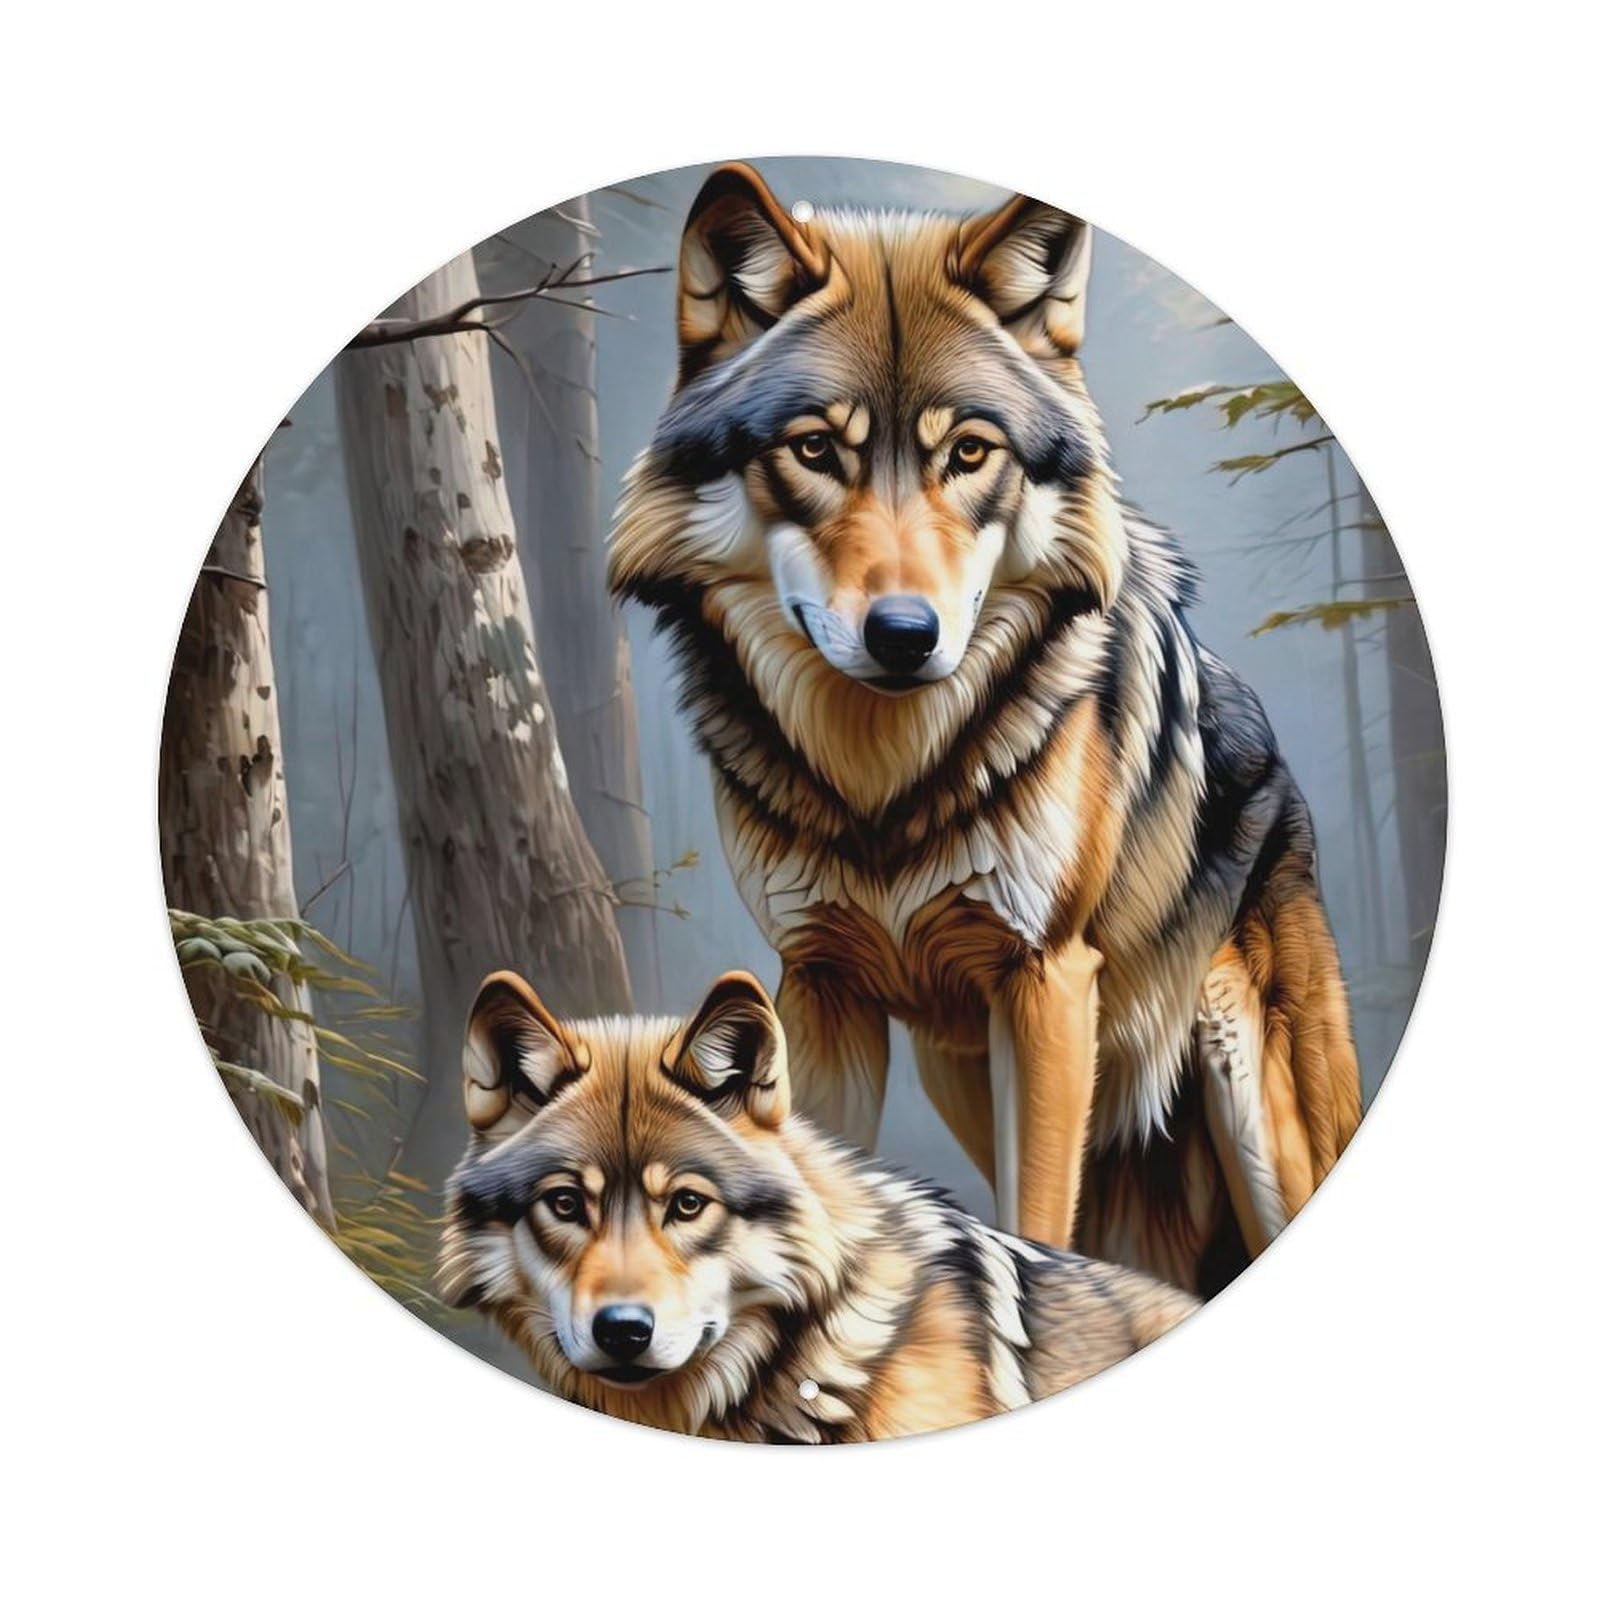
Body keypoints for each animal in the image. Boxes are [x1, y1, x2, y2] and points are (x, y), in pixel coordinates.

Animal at [607, 163, 1363, 1292]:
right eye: (815, 449)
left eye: (969, 453)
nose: (904, 635)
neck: (885, 783)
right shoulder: (820, 990)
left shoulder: (1048, 984)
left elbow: (1037, 1222)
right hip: (966, 1075)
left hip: (1258, 1115)